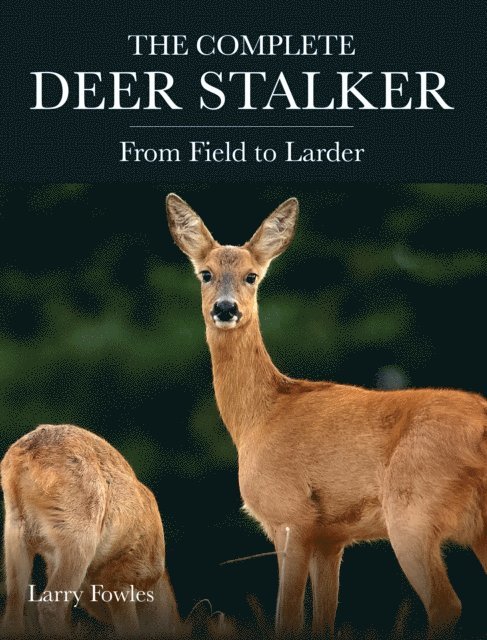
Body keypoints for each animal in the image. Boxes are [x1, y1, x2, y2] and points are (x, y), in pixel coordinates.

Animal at [1, 423, 181, 638]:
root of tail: (25, 455)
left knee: (13, 608)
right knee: (49, 606)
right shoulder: (124, 577)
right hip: (78, 533)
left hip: (16, 527)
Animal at [166, 193, 487, 638]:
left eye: (251, 276)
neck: (258, 419)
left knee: (445, 604)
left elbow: (288, 619)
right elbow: (323, 619)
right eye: (205, 273)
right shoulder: (331, 538)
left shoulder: (290, 516)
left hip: (412, 509)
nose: (225, 309)